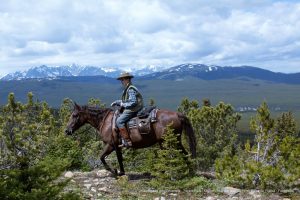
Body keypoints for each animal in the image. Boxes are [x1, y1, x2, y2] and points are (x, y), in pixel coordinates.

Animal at [65, 104, 197, 176]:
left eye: (75, 115)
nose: (67, 130)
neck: (106, 121)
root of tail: (178, 114)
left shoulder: (111, 145)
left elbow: (102, 157)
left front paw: (114, 171)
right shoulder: (117, 146)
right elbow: (119, 159)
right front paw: (121, 172)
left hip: (169, 142)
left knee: (177, 155)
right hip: (169, 142)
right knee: (183, 154)